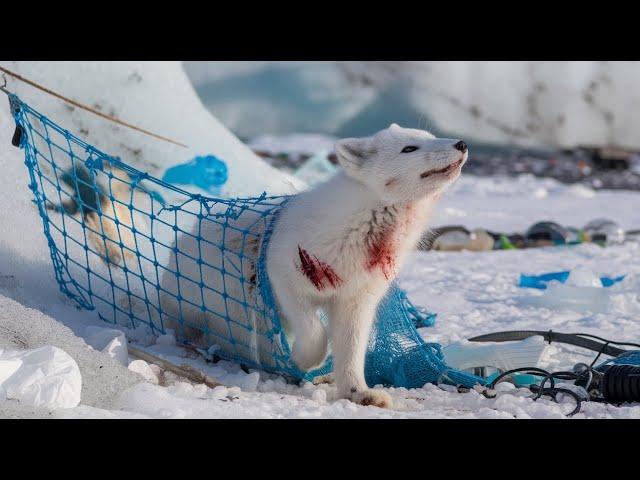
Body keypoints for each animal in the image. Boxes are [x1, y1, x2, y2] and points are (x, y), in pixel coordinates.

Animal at [161, 124, 464, 408]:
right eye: (409, 149)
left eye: (431, 136)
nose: (461, 144)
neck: (364, 227)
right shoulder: (285, 280)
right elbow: (315, 332)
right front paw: (303, 360)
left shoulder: (357, 302)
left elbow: (352, 351)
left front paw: (356, 392)